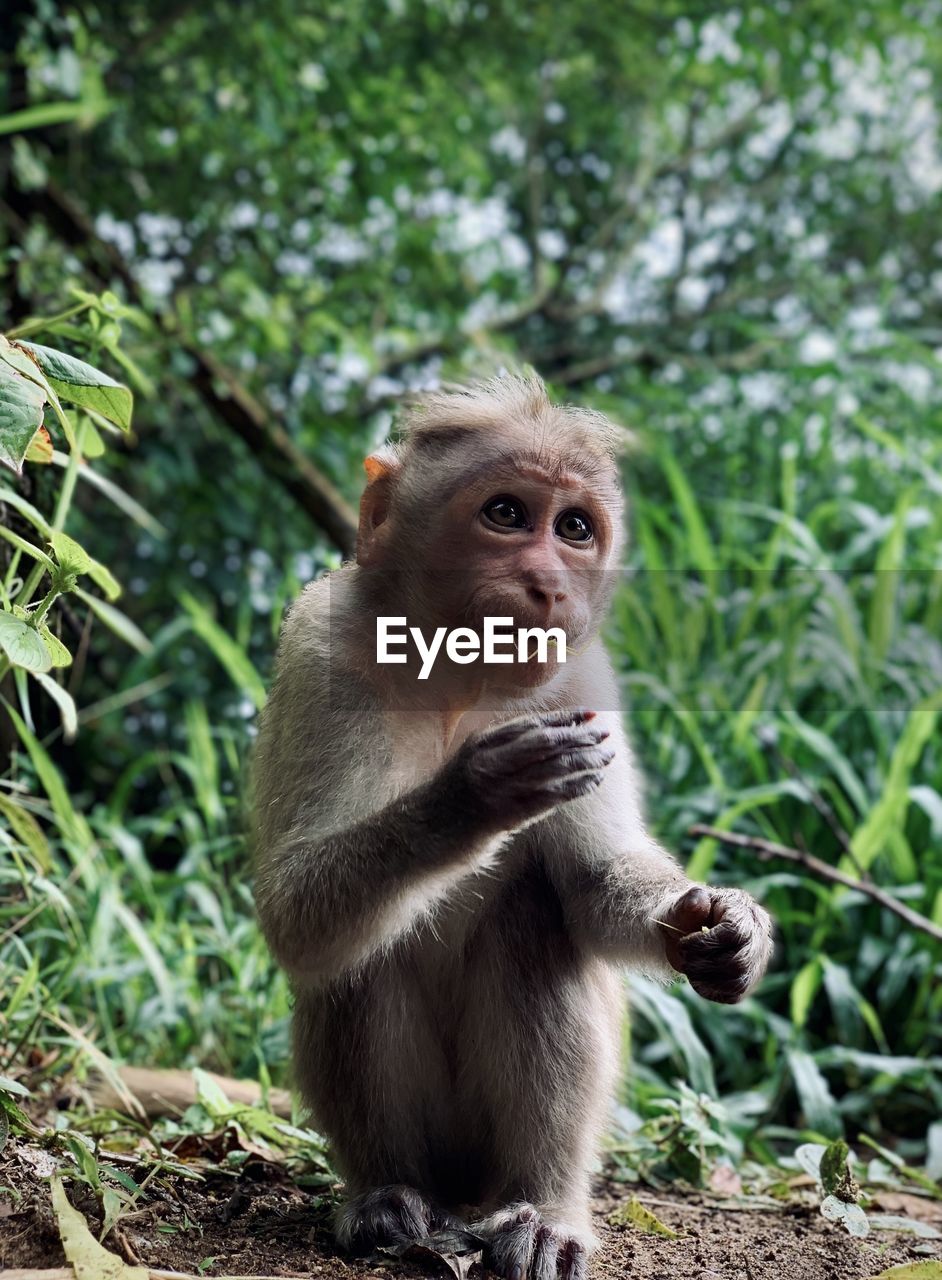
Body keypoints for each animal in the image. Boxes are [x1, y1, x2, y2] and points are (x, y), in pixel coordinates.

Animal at [252, 373, 773, 1280]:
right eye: (506, 513)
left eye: (573, 529)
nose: (547, 583)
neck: (456, 678)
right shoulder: (323, 645)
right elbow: (295, 913)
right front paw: (475, 794)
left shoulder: (583, 683)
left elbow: (597, 885)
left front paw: (727, 926)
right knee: (360, 953)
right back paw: (387, 1196)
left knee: (537, 921)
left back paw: (544, 1208)